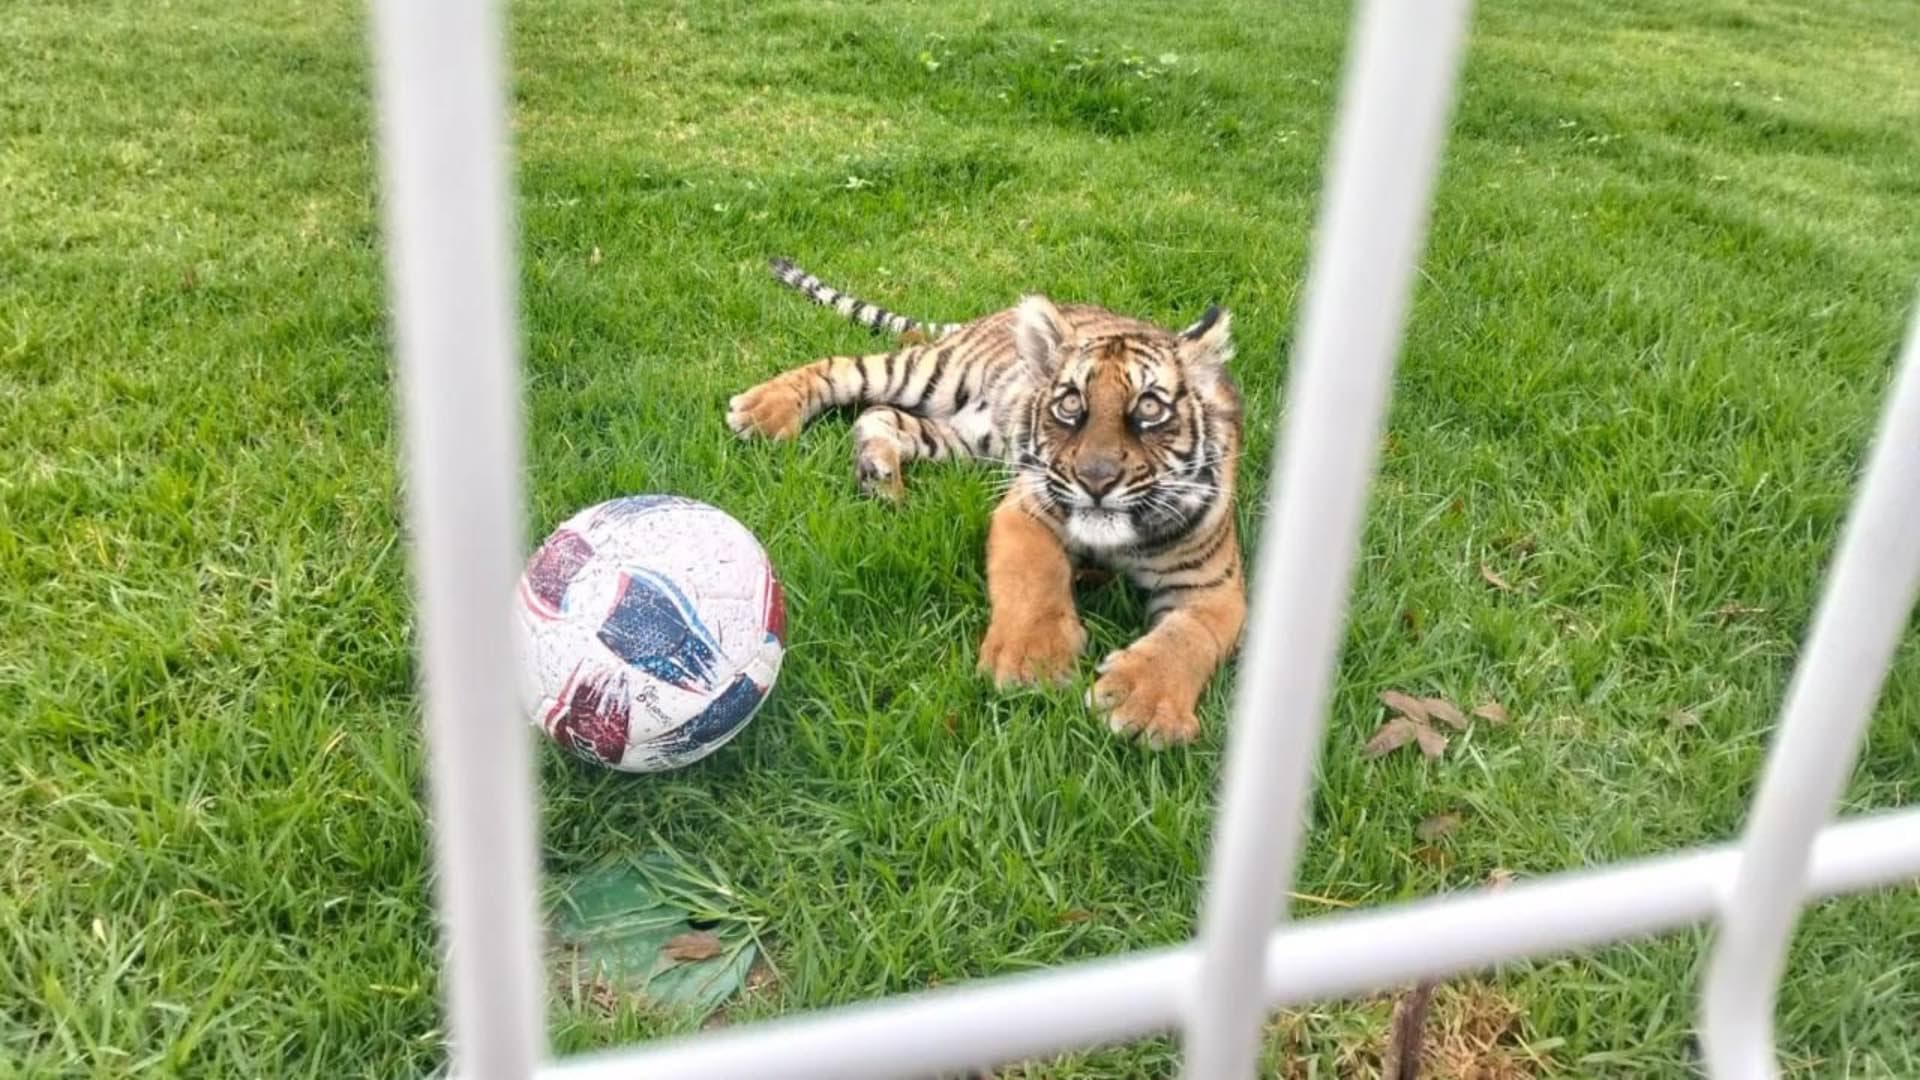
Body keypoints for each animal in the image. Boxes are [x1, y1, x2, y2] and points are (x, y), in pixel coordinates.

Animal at [728, 257, 1246, 748]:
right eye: (1070, 404)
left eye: (1149, 408)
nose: (1095, 480)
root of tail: (986, 319)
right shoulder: (1027, 510)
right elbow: (1033, 581)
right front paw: (1031, 662)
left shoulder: (1215, 586)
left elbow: (1189, 637)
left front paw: (1143, 703)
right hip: (928, 375)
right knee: (844, 368)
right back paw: (764, 410)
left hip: (959, 438)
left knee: (879, 415)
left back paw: (879, 476)